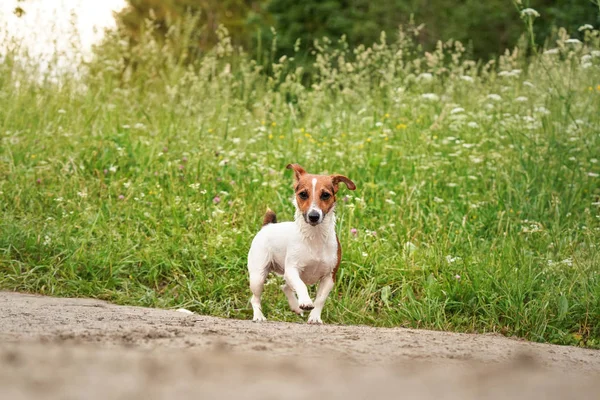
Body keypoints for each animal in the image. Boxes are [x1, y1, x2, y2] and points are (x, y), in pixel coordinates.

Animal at [246, 164, 354, 324]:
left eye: (325, 195)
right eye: (303, 194)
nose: (314, 216)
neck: (314, 237)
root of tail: (268, 226)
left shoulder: (329, 277)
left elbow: (320, 299)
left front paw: (314, 317)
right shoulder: (292, 269)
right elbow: (301, 285)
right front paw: (306, 302)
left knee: (285, 287)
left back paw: (295, 307)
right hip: (258, 276)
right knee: (255, 298)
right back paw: (259, 316)